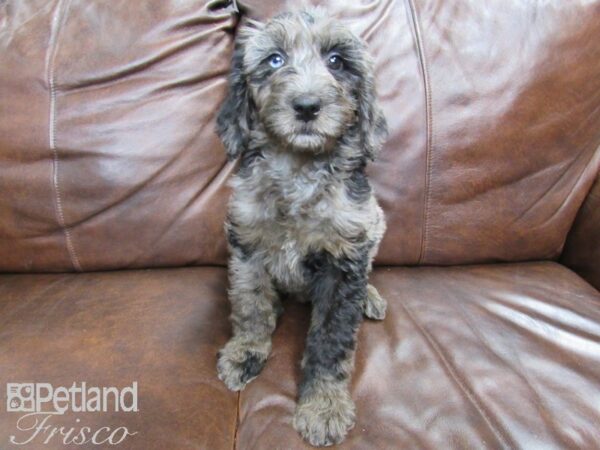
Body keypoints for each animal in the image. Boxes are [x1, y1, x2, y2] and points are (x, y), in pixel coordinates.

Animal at [216, 7, 390, 446]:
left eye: (337, 61)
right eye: (275, 59)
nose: (308, 106)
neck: (298, 168)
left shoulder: (344, 261)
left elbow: (331, 341)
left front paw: (323, 407)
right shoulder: (246, 243)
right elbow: (251, 304)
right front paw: (246, 352)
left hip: (376, 222)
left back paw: (370, 297)